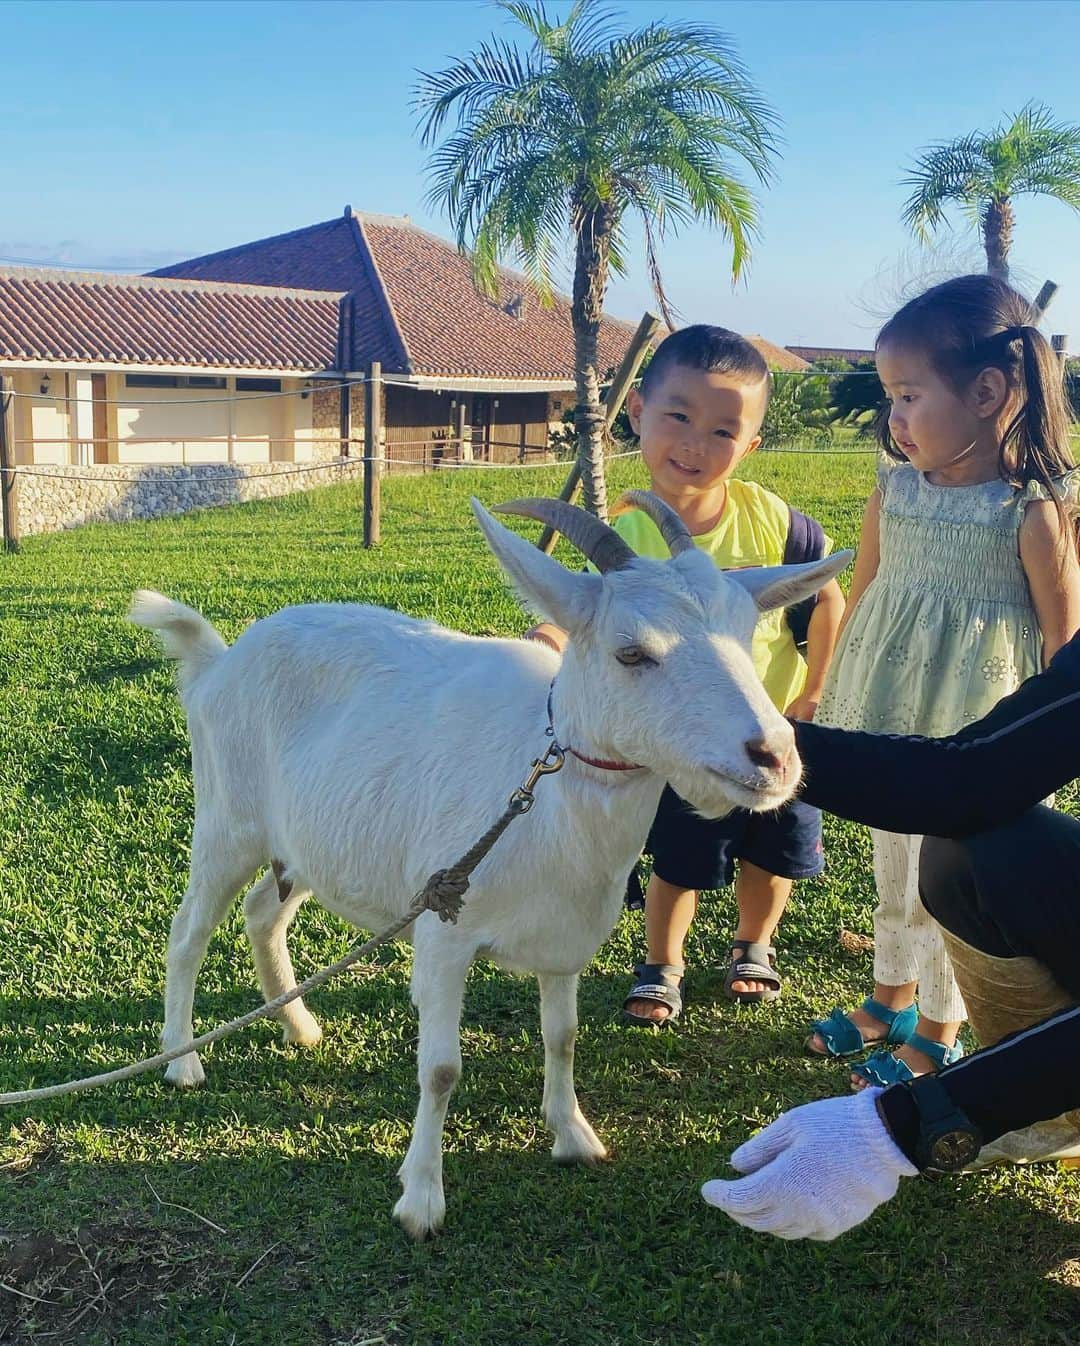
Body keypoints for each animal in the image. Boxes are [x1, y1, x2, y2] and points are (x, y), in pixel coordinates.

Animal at [130, 495, 845, 1238]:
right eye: (631, 653)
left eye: (747, 632)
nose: (775, 757)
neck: (542, 796)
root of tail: (218, 663)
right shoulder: (445, 926)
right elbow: (442, 1070)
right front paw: (420, 1199)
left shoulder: (564, 935)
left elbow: (562, 1036)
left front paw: (574, 1136)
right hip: (228, 820)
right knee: (189, 931)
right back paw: (182, 1060)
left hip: (306, 844)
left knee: (263, 915)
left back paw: (299, 1027)